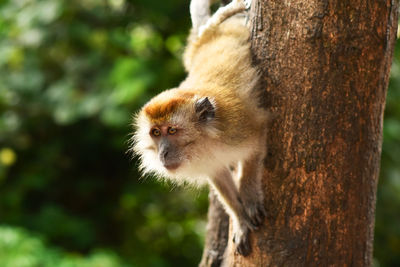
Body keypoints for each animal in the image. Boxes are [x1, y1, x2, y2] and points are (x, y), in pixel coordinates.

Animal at [132, 0, 268, 256]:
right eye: (155, 133)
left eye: (171, 131)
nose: (163, 152)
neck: (205, 141)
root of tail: (205, 36)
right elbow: (219, 175)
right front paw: (240, 219)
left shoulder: (238, 126)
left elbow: (255, 145)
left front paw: (249, 195)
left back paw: (229, 13)